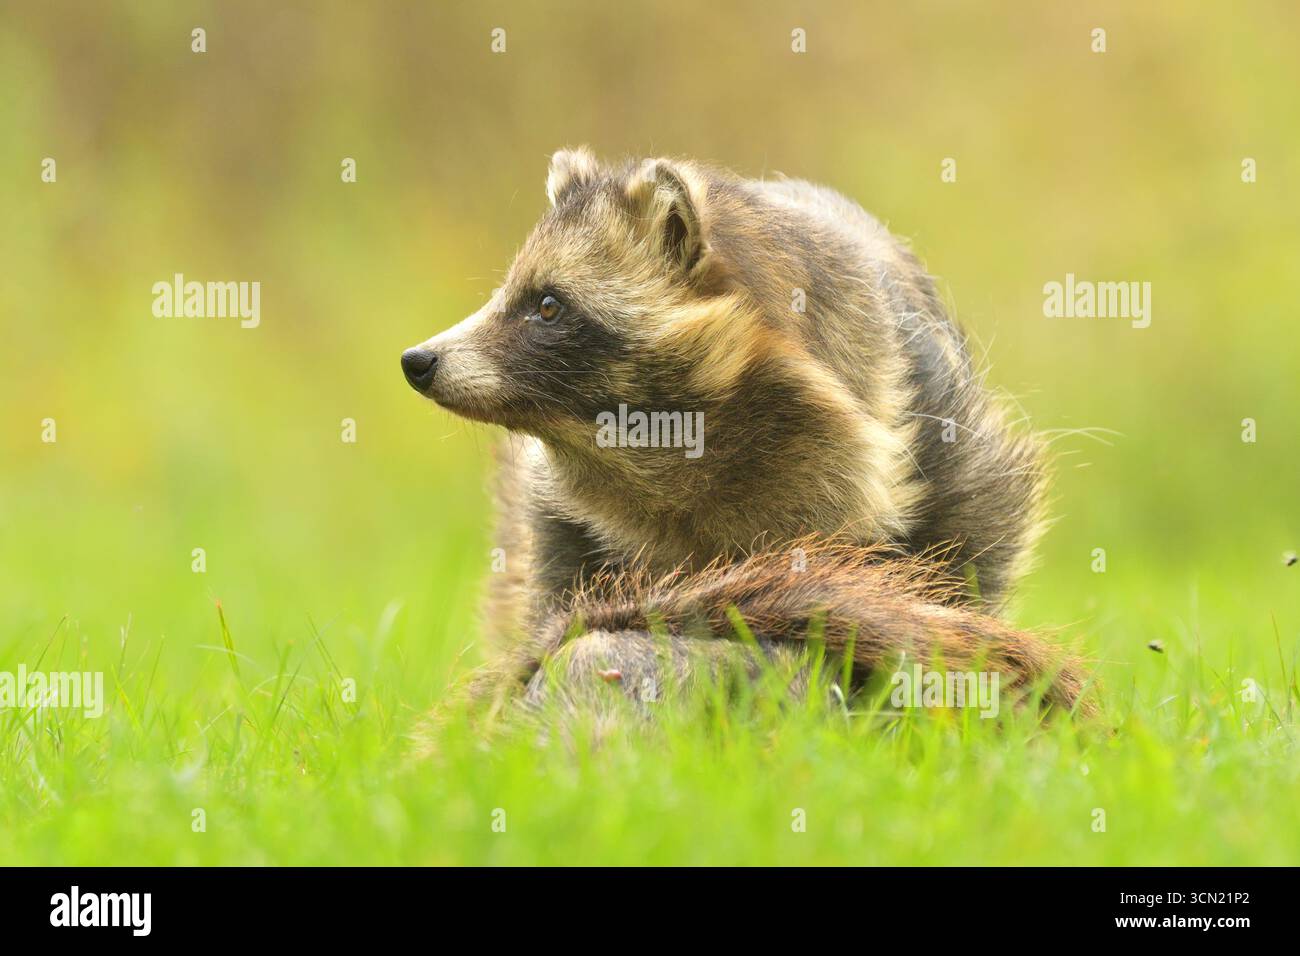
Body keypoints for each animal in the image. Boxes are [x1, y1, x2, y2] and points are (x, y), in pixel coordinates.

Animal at [402, 147, 1090, 723]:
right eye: (510, 295)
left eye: (546, 305)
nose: (419, 360)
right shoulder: (555, 514)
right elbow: (560, 589)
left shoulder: (943, 440)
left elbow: (961, 569)